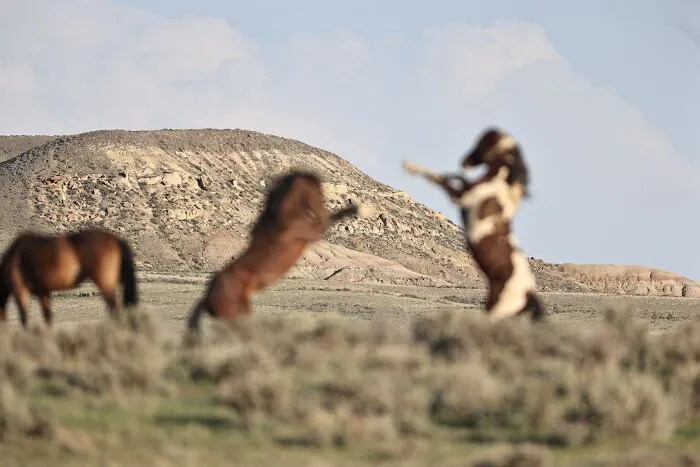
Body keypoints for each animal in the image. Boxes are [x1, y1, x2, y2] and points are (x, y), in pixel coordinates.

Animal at [0, 228, 139, 328]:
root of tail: (115, 240)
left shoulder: (20, 291)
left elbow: (24, 320)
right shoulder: (43, 292)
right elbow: (47, 318)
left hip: (105, 284)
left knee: (114, 310)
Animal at [186, 170, 376, 332]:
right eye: (318, 193)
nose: (319, 212)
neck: (281, 217)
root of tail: (207, 297)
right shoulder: (314, 231)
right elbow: (336, 217)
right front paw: (362, 209)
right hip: (237, 315)